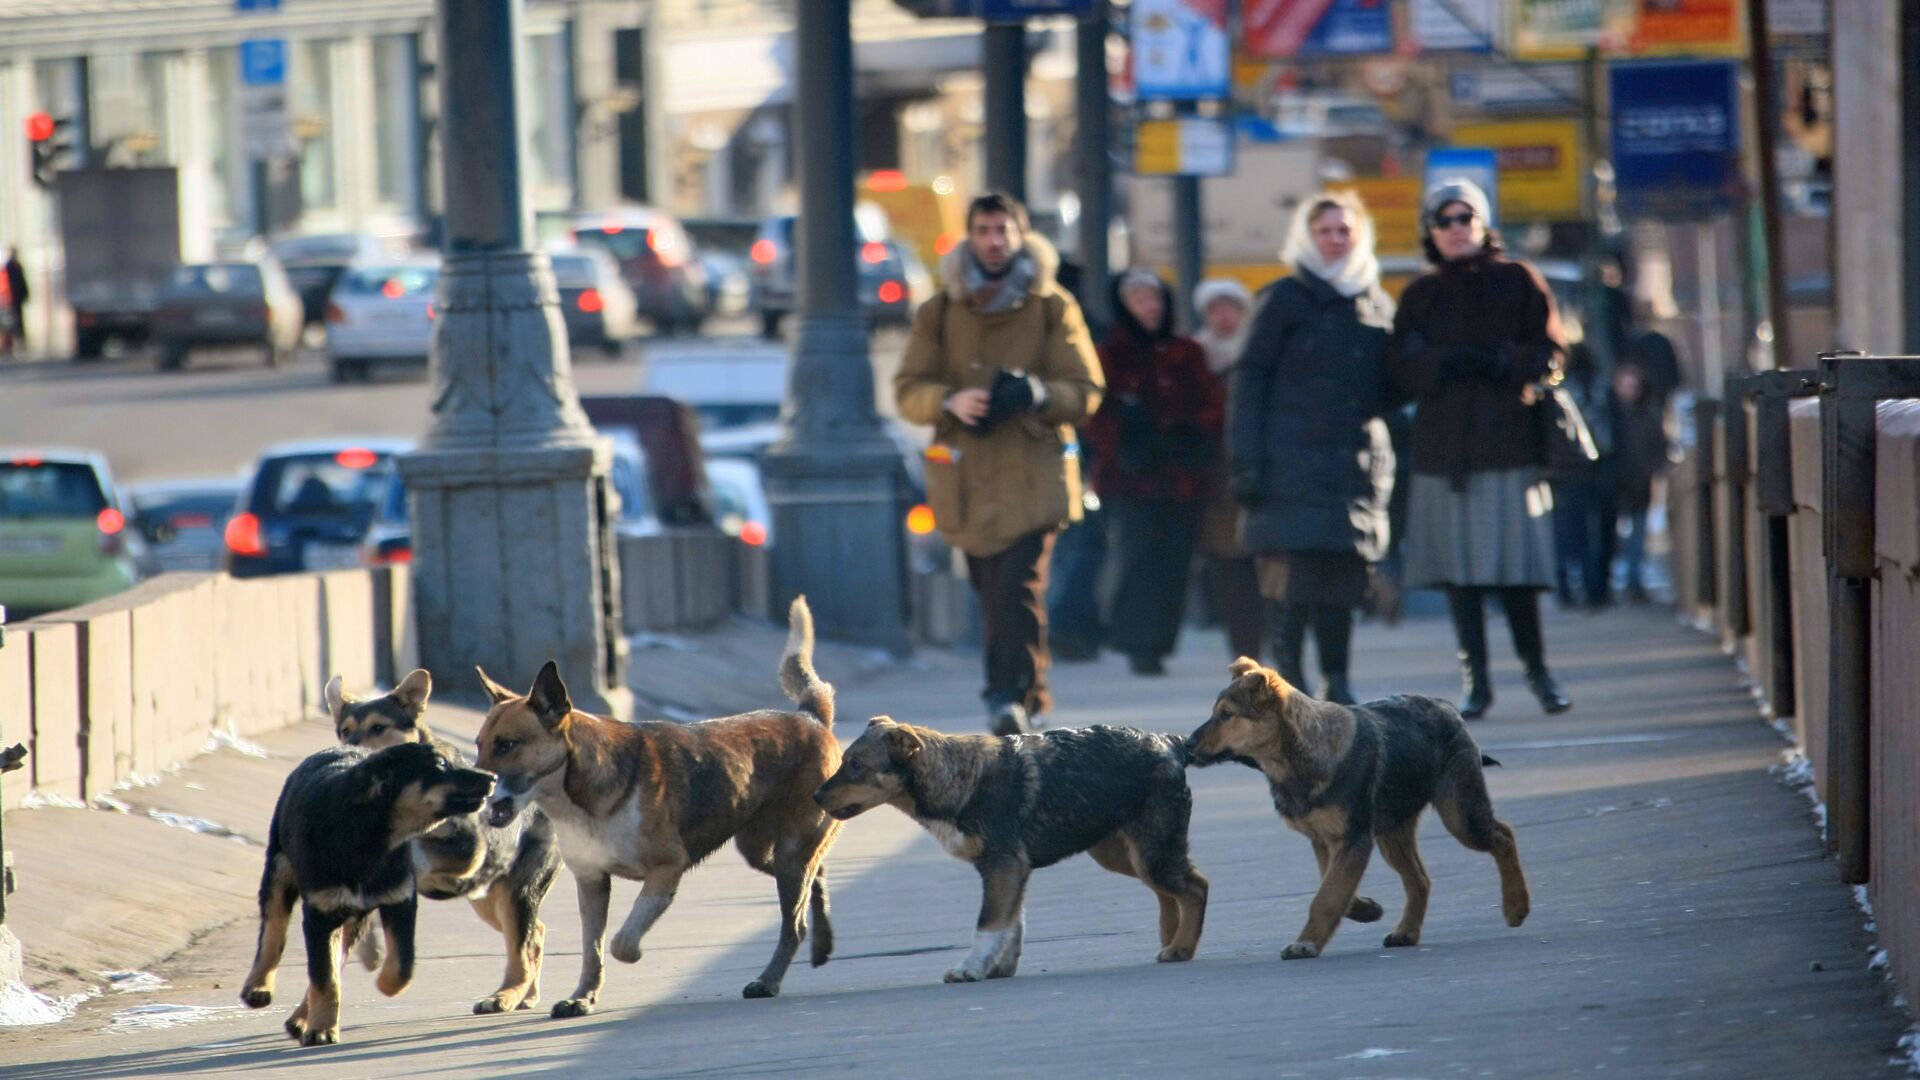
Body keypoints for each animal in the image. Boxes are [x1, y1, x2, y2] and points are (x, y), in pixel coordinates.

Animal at [238, 737, 495, 1045]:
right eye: (440, 764)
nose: (492, 778)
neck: (372, 838)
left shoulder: (399, 901)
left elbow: (401, 965)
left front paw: (385, 984)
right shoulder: (319, 914)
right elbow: (324, 977)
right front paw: (322, 1030)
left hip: (354, 915)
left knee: (335, 959)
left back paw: (300, 1018)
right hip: (280, 868)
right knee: (274, 929)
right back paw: (258, 987)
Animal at [322, 664, 560, 1006]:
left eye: (379, 728)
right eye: (344, 730)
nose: (348, 748)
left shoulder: (468, 849)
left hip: (515, 892)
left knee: (523, 947)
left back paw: (504, 997)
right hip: (488, 899)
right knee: (535, 933)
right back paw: (526, 994)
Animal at [474, 591, 840, 1014]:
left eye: (507, 745)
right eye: (478, 745)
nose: (473, 785)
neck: (579, 795)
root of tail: (811, 717)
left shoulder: (666, 870)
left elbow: (620, 942)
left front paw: (631, 956)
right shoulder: (591, 882)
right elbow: (591, 947)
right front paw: (582, 997)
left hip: (790, 853)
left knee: (793, 923)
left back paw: (768, 981)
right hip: (764, 851)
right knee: (817, 875)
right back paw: (822, 940)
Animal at [817, 711, 1205, 980]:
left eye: (856, 765)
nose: (816, 795)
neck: (958, 778)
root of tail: (1170, 743)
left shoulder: (1003, 865)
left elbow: (989, 923)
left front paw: (971, 968)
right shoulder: (1011, 871)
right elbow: (1011, 923)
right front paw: (998, 968)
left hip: (1151, 850)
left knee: (1195, 887)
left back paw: (1182, 947)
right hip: (1122, 853)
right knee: (1169, 891)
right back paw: (1171, 940)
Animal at [1182, 657, 1528, 957]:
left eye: (1226, 715)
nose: (1187, 745)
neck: (1299, 755)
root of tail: (1447, 707)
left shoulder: (1353, 839)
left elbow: (1326, 896)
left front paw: (1306, 943)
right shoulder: (1325, 841)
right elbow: (1334, 888)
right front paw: (1365, 909)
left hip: (1459, 815)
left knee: (1503, 836)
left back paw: (1517, 906)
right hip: (1393, 833)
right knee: (1419, 879)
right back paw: (1406, 931)